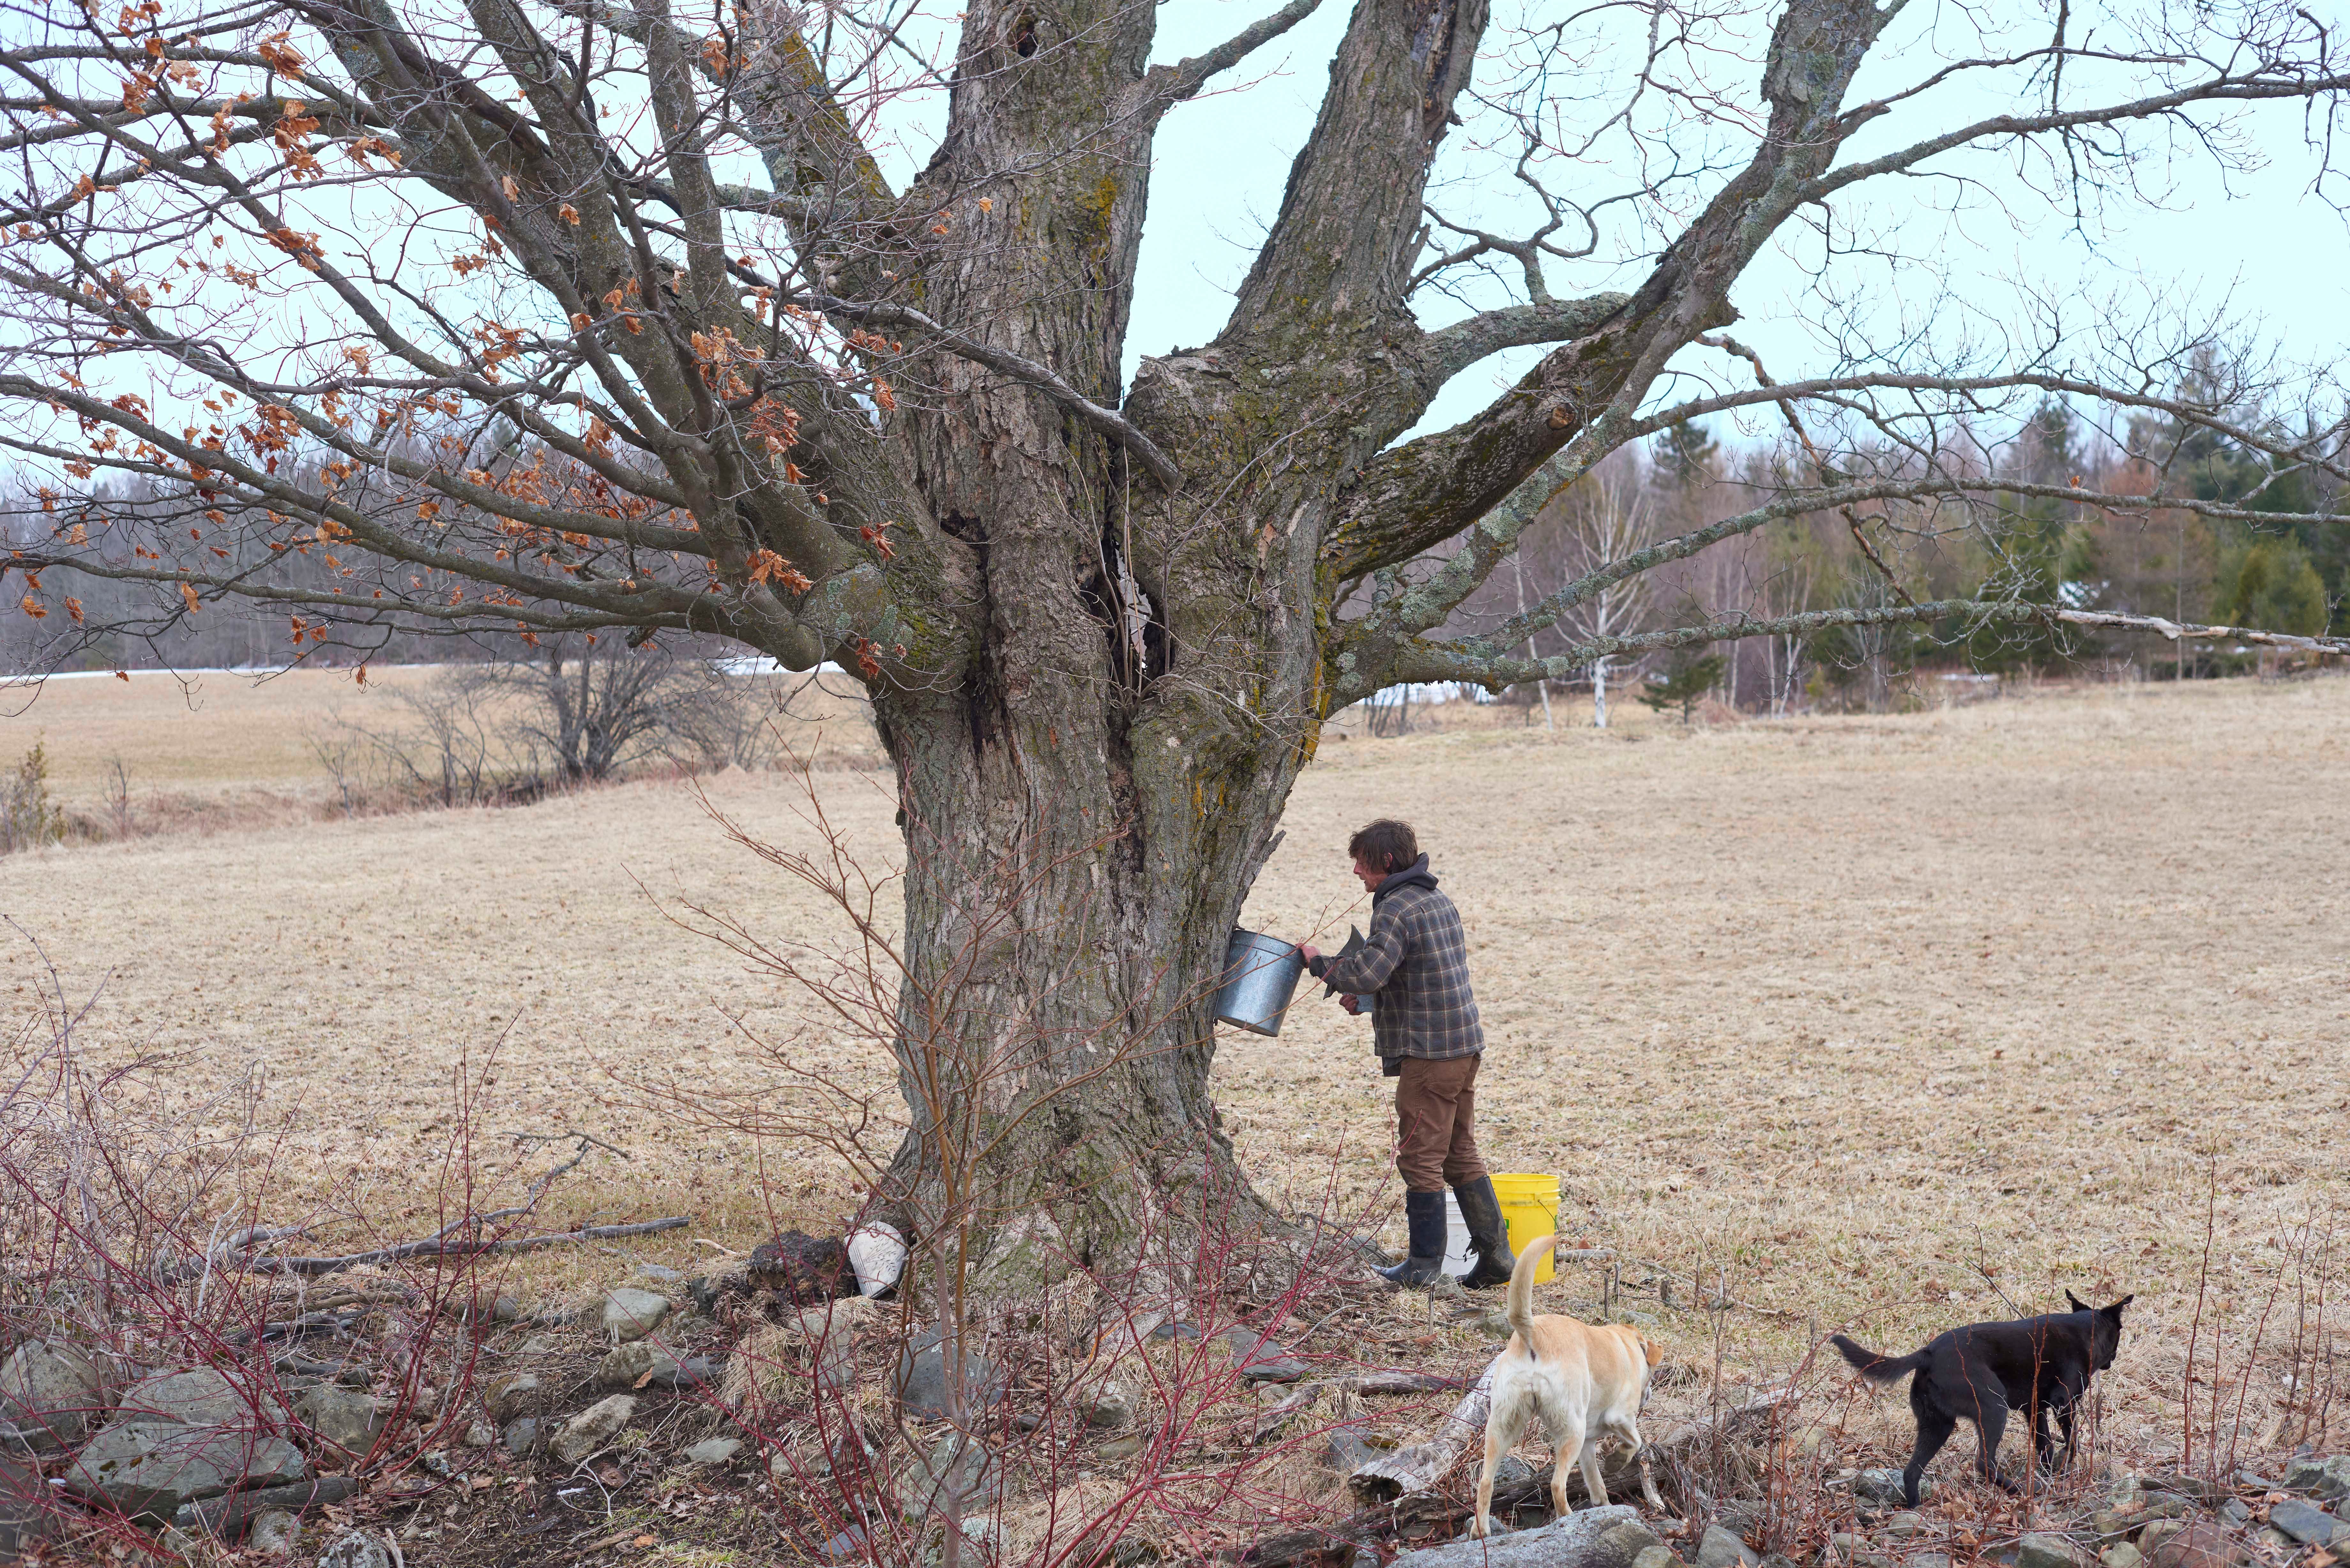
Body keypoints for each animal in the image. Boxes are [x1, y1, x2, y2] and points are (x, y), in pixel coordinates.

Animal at [1823, 1298, 2143, 1504]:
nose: (2113, 1359)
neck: (2085, 1332)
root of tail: (1927, 1354)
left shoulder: (2035, 1409)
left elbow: (2045, 1446)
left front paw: (2050, 1475)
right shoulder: (2064, 1403)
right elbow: (2072, 1441)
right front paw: (2062, 1470)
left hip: (1937, 1425)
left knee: (1912, 1471)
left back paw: (1916, 1511)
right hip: (1993, 1409)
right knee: (1983, 1462)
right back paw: (2016, 1491)